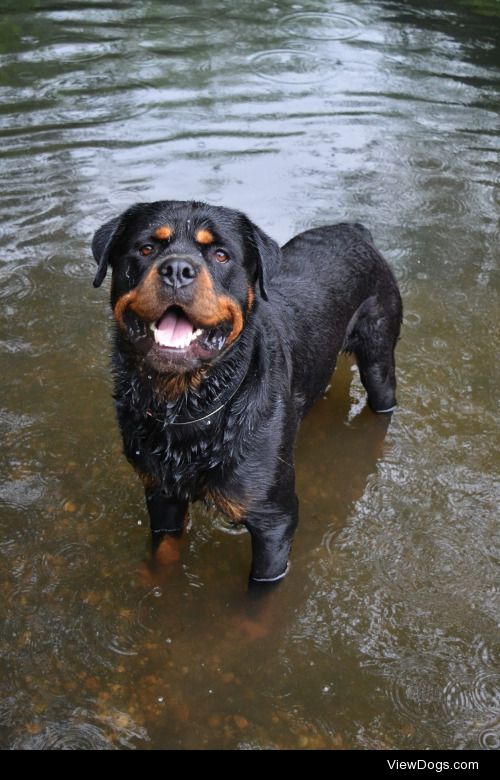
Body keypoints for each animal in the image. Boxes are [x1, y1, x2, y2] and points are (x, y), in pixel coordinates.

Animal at [91, 201, 402, 584]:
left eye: (221, 255)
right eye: (146, 248)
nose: (177, 269)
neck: (190, 405)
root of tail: (355, 229)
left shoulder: (275, 519)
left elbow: (259, 596)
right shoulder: (160, 493)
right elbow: (164, 553)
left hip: (379, 356)